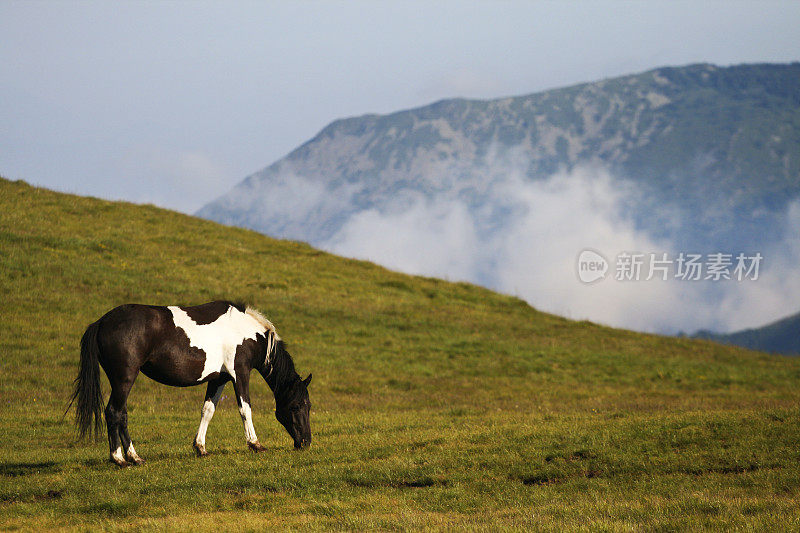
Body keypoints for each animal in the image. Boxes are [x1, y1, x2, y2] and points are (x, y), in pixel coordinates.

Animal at [69, 300, 312, 466]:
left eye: (308, 406)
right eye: (295, 406)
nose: (306, 442)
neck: (246, 332)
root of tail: (101, 322)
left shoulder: (218, 379)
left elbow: (208, 411)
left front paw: (201, 448)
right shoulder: (240, 374)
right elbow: (245, 409)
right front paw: (255, 444)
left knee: (122, 414)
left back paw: (132, 456)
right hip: (124, 378)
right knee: (114, 412)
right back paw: (121, 458)